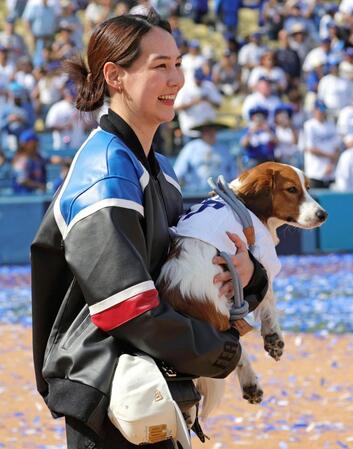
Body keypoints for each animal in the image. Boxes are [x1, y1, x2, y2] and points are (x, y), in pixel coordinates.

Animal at [157, 162, 328, 420]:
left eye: (307, 188)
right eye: (291, 189)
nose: (323, 215)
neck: (244, 204)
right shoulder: (263, 256)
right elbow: (269, 299)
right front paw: (273, 336)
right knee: (236, 350)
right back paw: (251, 384)